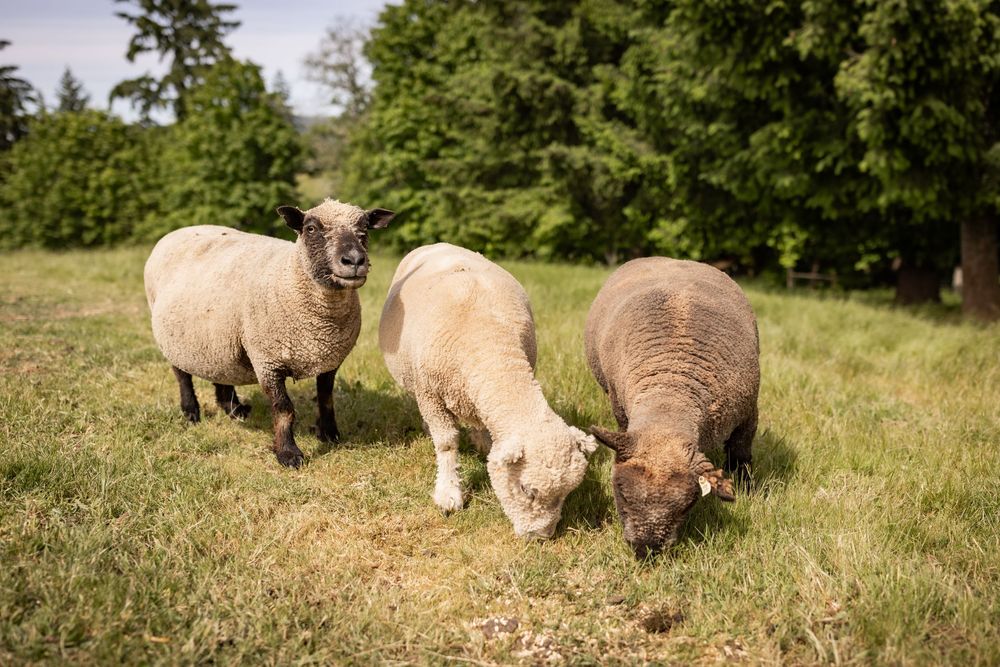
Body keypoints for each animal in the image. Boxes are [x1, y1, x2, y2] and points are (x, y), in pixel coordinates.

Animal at [144, 199, 394, 468]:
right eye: (311, 229)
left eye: (365, 228)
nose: (355, 260)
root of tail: (179, 231)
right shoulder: (267, 360)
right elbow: (284, 409)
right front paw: (288, 454)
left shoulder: (329, 359)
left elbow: (326, 399)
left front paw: (330, 434)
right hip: (171, 337)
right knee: (181, 375)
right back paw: (191, 411)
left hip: (217, 338)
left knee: (220, 370)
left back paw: (235, 410)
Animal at [379, 243, 598, 539]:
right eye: (526, 490)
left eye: (566, 494)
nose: (540, 538)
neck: (490, 344)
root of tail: (439, 244)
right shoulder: (429, 393)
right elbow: (446, 442)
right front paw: (448, 493)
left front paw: (484, 445)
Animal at [584, 257, 759, 557]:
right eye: (620, 491)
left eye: (689, 504)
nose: (646, 549)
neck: (671, 393)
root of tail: (678, 260)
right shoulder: (619, 404)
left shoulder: (748, 413)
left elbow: (740, 454)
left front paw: (747, 489)